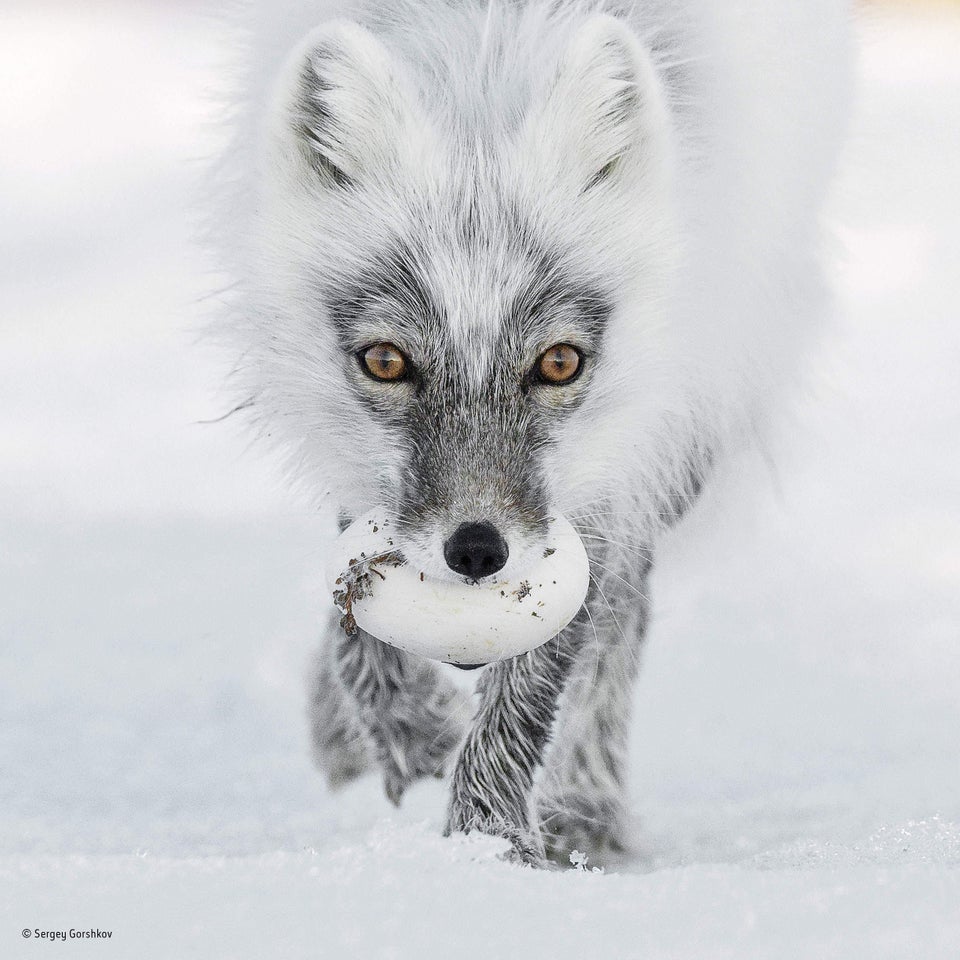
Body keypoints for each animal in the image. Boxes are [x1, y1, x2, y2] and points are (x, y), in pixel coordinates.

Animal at [209, 0, 851, 866]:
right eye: (386, 361)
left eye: (559, 362)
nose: (478, 551)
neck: (483, 66)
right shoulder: (358, 460)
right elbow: (354, 610)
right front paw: (408, 732)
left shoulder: (612, 472)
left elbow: (539, 681)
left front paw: (487, 850)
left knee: (622, 618)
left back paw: (585, 807)